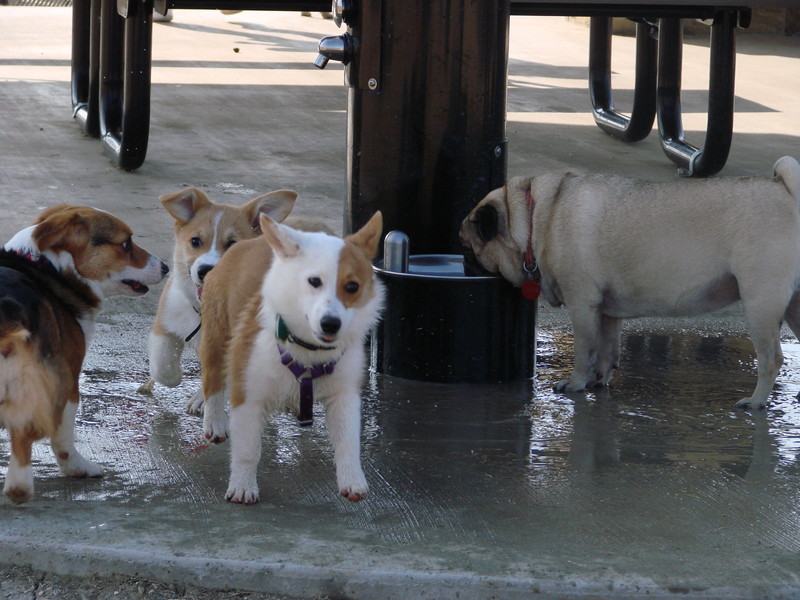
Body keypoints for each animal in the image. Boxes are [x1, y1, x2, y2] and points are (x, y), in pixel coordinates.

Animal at [141, 188, 296, 412]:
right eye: (195, 241)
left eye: (232, 244)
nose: (205, 271)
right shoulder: (165, 322)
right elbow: (162, 366)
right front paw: (175, 378)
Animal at [197, 213, 382, 504]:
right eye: (314, 281)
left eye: (353, 286)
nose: (331, 324)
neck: (308, 350)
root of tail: (248, 242)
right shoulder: (247, 396)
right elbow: (248, 450)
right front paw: (242, 486)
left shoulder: (345, 395)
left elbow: (348, 443)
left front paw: (353, 481)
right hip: (216, 338)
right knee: (213, 381)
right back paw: (214, 423)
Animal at [460, 155, 800, 410]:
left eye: (468, 247)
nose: (464, 263)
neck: (536, 220)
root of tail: (786, 191)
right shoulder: (608, 312)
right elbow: (607, 351)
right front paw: (598, 382)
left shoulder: (582, 305)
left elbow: (585, 350)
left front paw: (576, 383)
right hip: (794, 306)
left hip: (760, 303)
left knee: (770, 359)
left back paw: (755, 402)